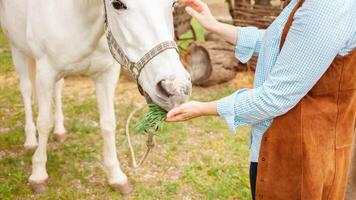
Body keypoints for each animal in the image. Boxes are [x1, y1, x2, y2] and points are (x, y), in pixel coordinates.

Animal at [0, 0, 192, 195]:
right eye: (117, 4)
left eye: (172, 4)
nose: (176, 88)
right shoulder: (45, 73)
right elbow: (44, 123)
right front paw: (38, 174)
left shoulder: (106, 75)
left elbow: (108, 124)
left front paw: (116, 176)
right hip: (18, 51)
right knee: (26, 90)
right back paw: (31, 141)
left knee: (58, 89)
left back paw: (60, 130)